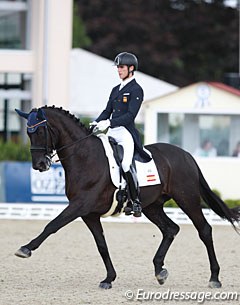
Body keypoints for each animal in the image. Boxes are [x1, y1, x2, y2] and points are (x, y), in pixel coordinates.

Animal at [15, 106, 240, 288]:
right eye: (28, 132)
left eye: (41, 131)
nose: (40, 165)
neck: (84, 156)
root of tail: (186, 155)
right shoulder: (89, 214)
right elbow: (102, 245)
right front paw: (109, 278)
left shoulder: (79, 205)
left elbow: (52, 225)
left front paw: (25, 249)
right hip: (152, 206)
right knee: (170, 229)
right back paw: (159, 271)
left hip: (187, 199)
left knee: (204, 230)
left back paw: (214, 278)